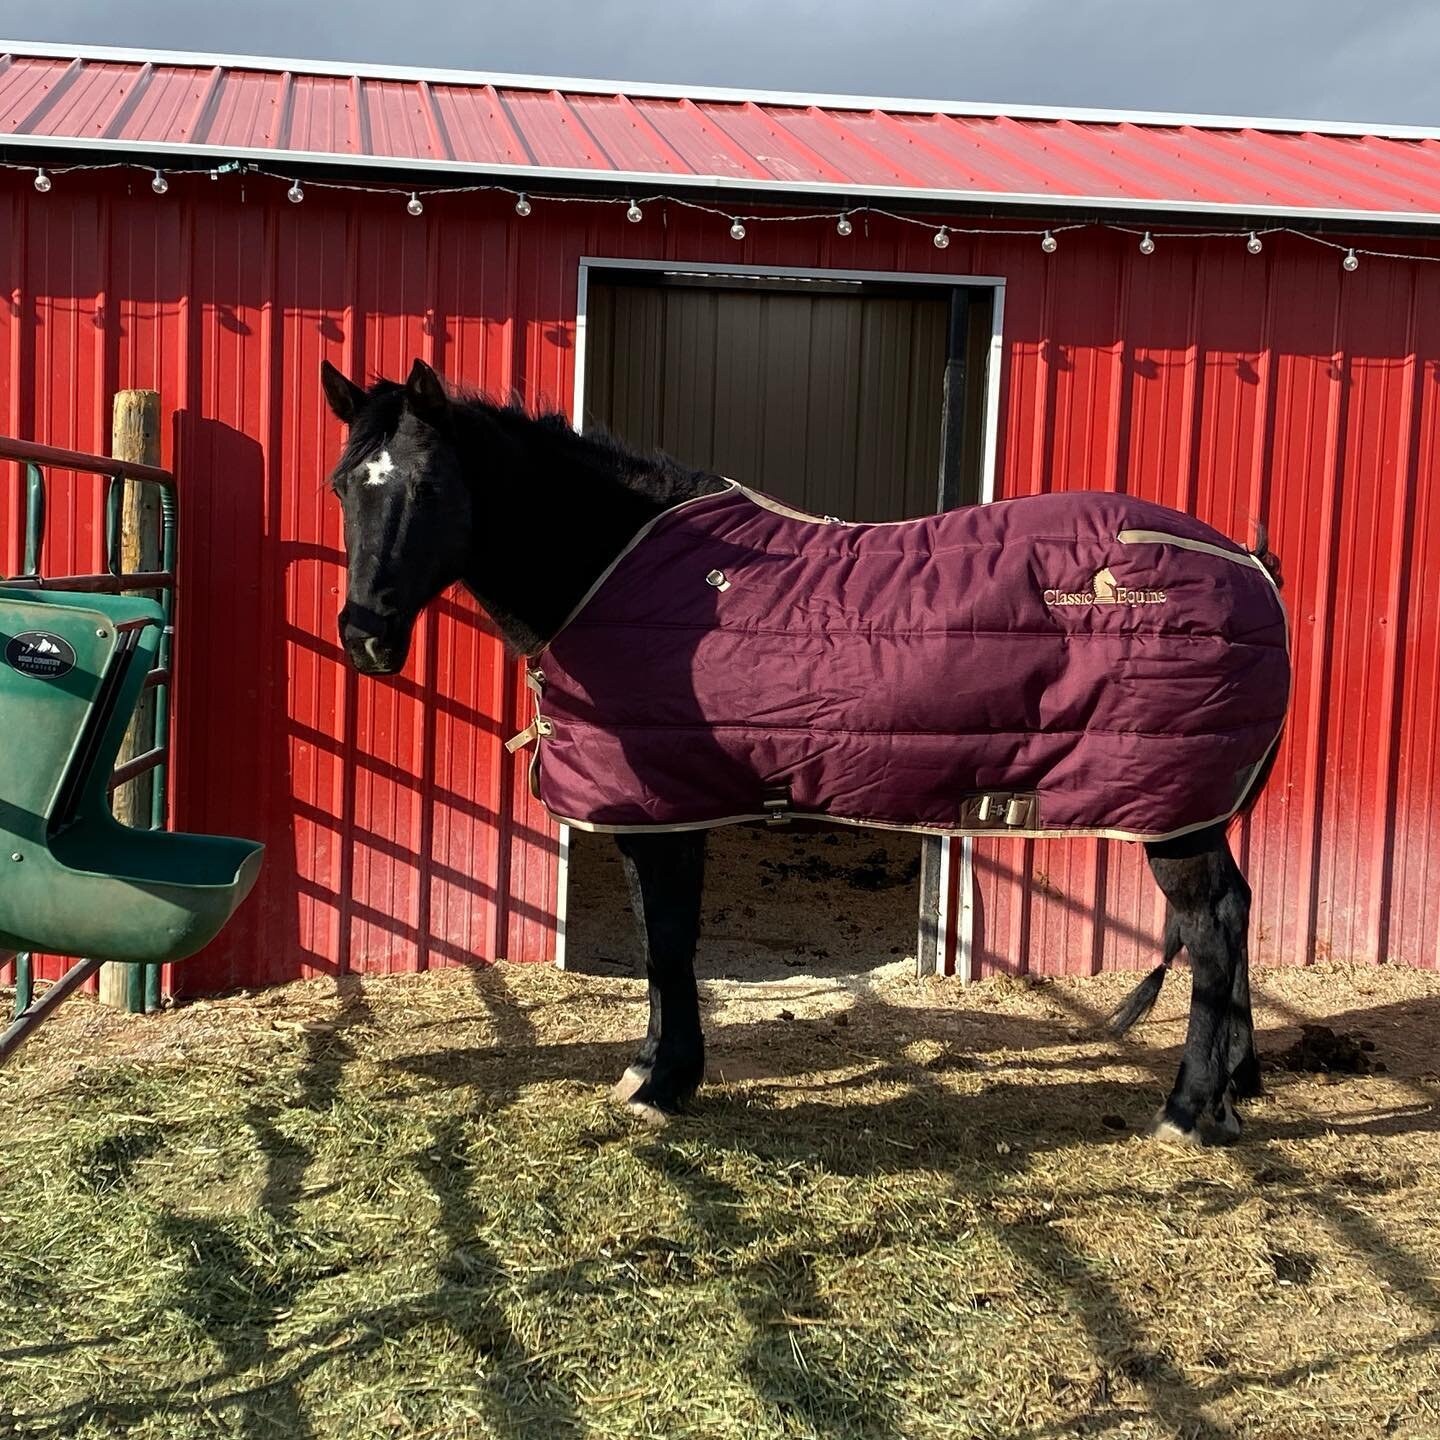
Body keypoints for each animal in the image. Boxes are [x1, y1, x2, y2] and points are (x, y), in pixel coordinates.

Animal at [321, 360, 1278, 1146]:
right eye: (342, 487)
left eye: (430, 487)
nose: (365, 639)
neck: (625, 575)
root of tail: (1249, 562)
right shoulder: (663, 808)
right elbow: (662, 940)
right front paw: (660, 1070)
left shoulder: (666, 811)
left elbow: (666, 942)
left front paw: (661, 1083)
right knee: (1234, 914)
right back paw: (1233, 1091)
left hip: (1173, 817)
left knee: (1212, 926)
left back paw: (1188, 1110)